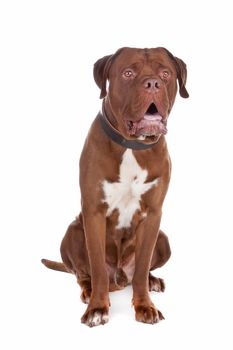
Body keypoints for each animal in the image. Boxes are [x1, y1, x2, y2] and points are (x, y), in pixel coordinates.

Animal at [41, 46, 188, 326]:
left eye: (165, 74)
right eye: (128, 73)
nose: (152, 83)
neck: (133, 145)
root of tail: (119, 278)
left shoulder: (153, 216)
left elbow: (142, 266)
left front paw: (145, 306)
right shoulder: (94, 212)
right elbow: (97, 266)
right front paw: (97, 308)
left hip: (163, 239)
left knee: (139, 271)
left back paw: (152, 281)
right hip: (73, 232)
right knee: (82, 273)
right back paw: (88, 291)